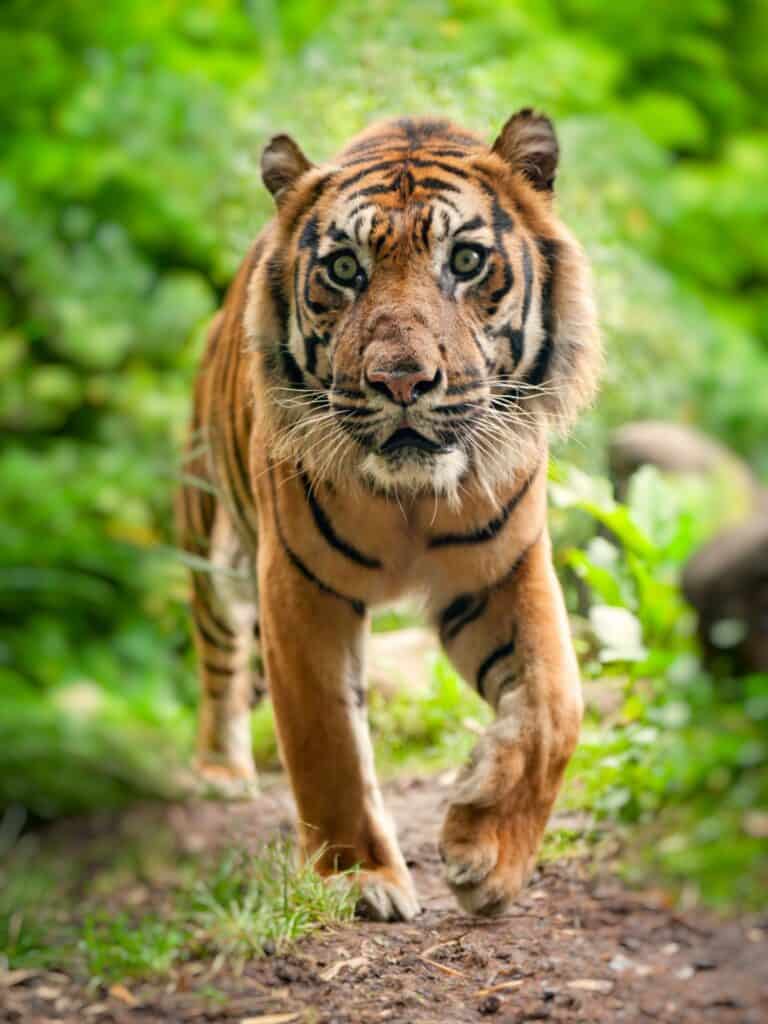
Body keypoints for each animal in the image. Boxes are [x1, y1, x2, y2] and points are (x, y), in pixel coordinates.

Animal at [177, 109, 600, 921]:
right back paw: (219, 770)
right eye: (345, 270)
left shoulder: (505, 568)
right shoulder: (300, 585)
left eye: (465, 260)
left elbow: (555, 707)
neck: (412, 501)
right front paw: (359, 877)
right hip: (213, 545)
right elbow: (330, 741)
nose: (401, 380)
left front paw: (487, 856)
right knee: (220, 656)